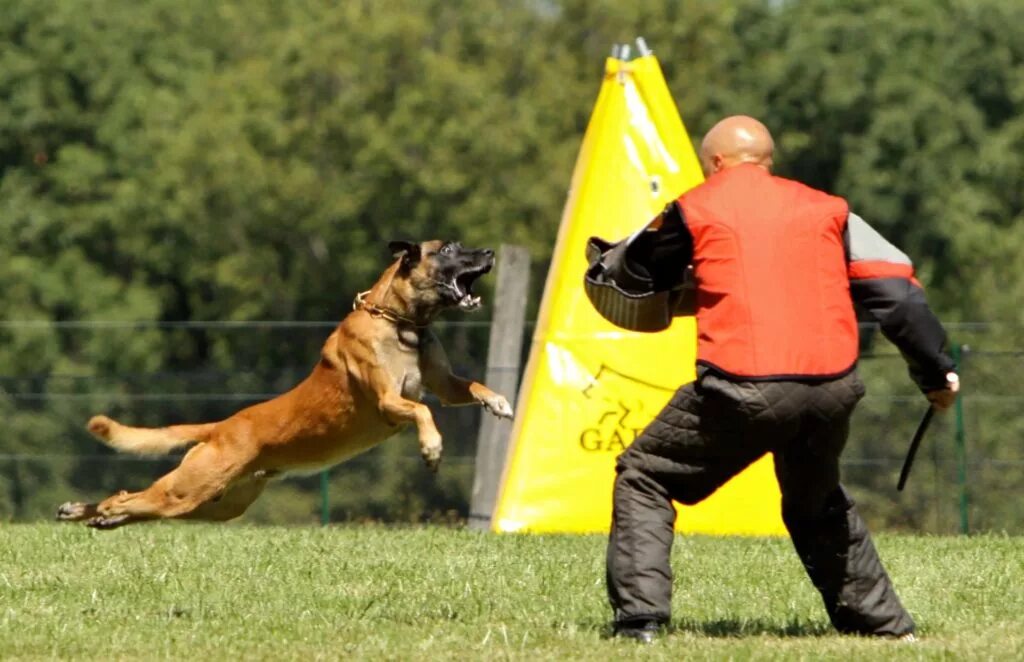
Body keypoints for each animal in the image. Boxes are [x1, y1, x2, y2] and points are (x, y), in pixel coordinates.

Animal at [58, 240, 512, 532]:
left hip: (214, 504)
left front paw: (500, 403)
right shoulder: (387, 400)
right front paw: (432, 448)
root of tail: (222, 427)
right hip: (189, 490)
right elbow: (422, 408)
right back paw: (98, 511)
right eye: (448, 250)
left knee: (138, 502)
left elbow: (469, 387)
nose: (490, 253)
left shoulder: (443, 384)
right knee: (129, 495)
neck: (401, 323)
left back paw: (93, 513)